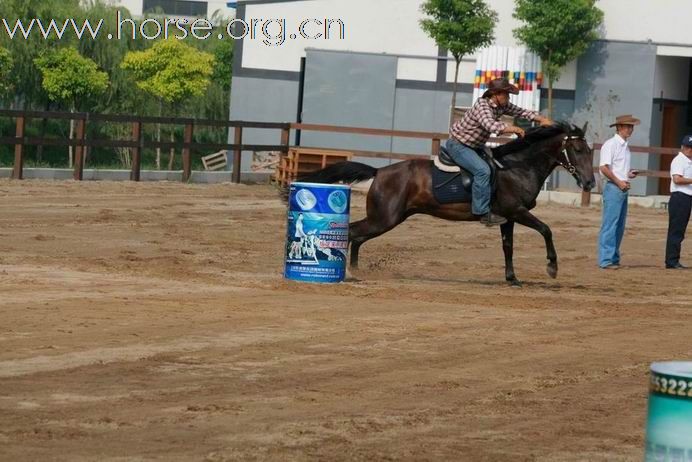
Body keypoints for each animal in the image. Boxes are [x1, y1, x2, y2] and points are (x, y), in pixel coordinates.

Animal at [292, 122, 596, 286]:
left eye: (590, 150)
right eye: (577, 149)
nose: (590, 183)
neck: (518, 166)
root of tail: (380, 172)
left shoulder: (507, 218)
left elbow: (507, 247)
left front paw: (512, 278)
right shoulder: (516, 212)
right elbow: (546, 230)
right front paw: (552, 267)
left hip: (388, 218)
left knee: (356, 236)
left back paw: (354, 269)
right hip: (384, 218)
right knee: (353, 232)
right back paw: (346, 272)